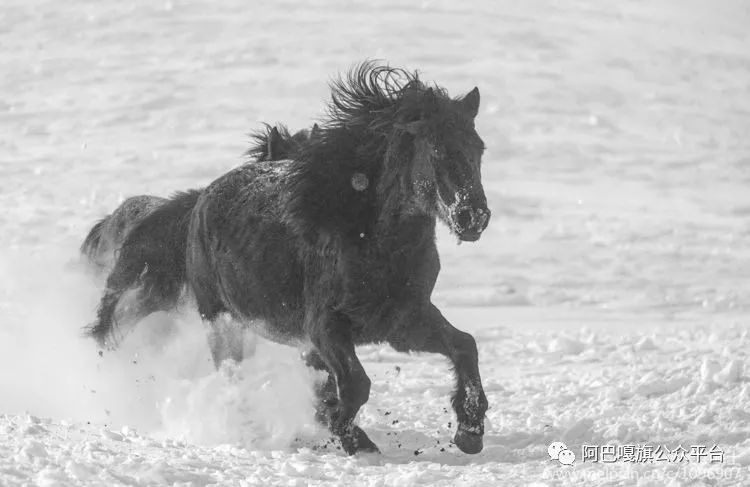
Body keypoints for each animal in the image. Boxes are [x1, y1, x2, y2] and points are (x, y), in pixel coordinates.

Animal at [86, 62, 494, 458]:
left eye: (478, 148)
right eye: (436, 150)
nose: (474, 217)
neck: (369, 240)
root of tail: (202, 200)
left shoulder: (404, 321)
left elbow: (464, 346)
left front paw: (470, 433)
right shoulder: (324, 328)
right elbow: (354, 384)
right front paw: (349, 436)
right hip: (221, 319)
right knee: (229, 374)